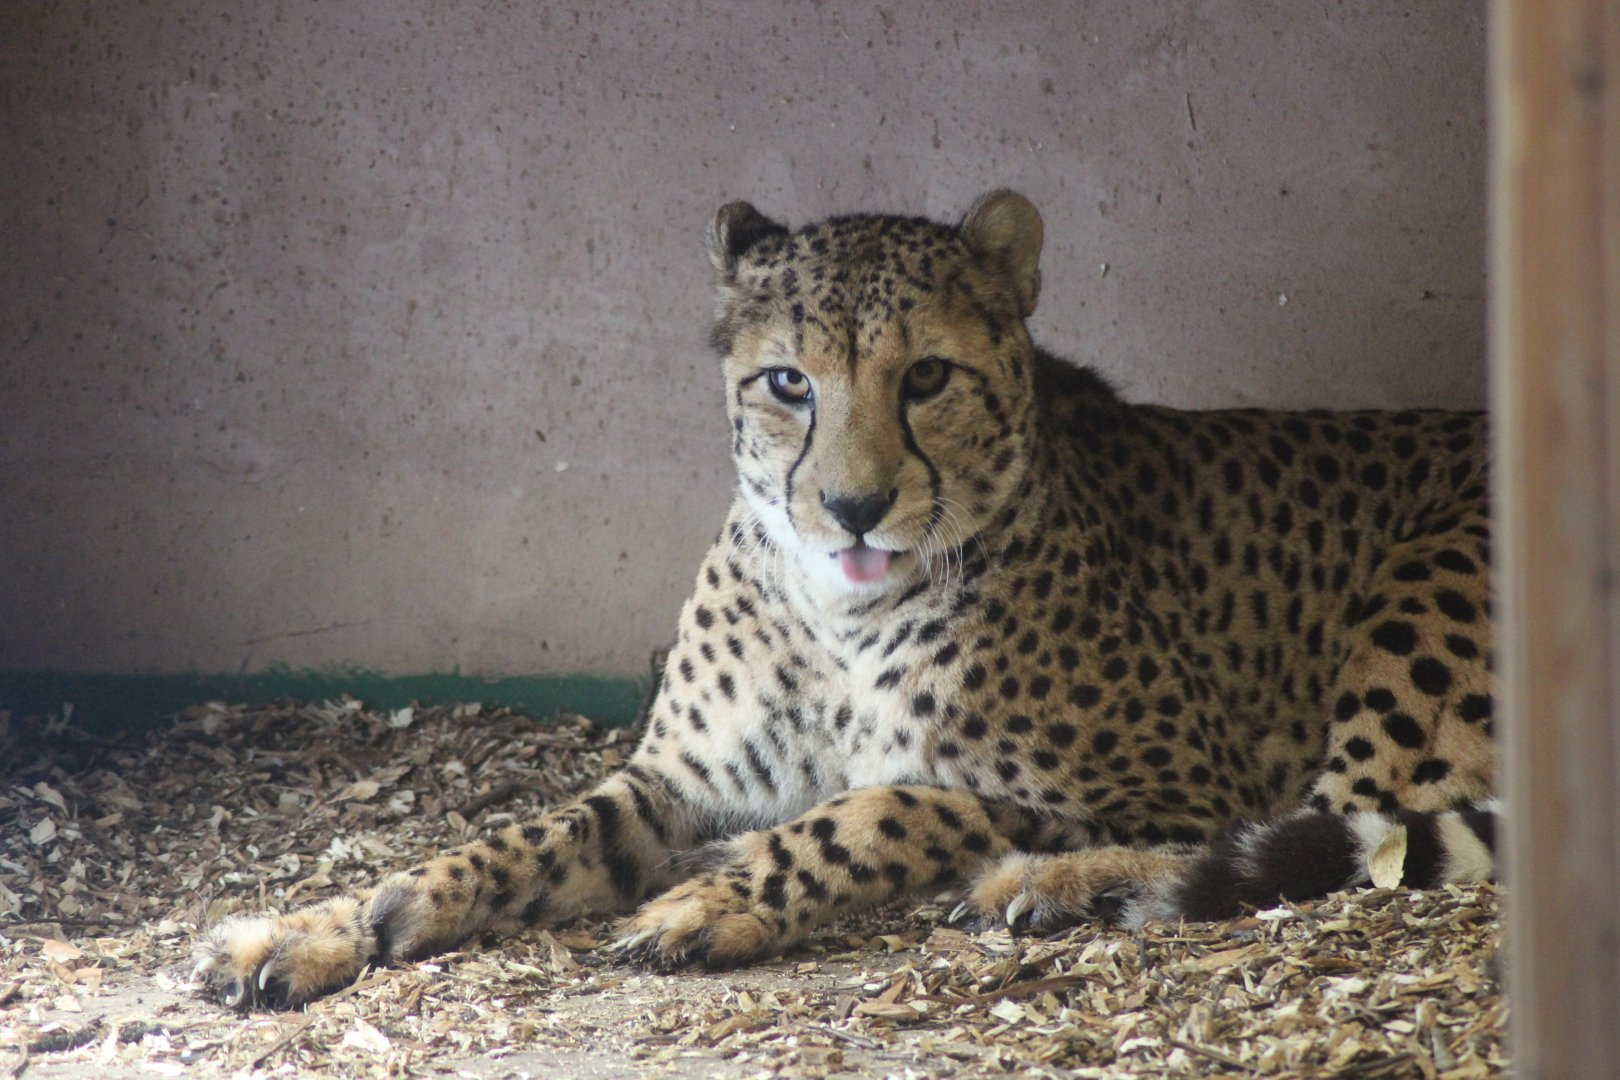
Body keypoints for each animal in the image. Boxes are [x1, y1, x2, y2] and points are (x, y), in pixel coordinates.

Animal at [194, 190, 1497, 1009]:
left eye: (927, 378)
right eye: (787, 383)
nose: (856, 506)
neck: (841, 614)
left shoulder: (1179, 778)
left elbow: (896, 804)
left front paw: (722, 895)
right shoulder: (673, 783)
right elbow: (516, 838)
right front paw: (334, 921)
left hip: (1422, 589)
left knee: (1346, 834)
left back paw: (1055, 884)